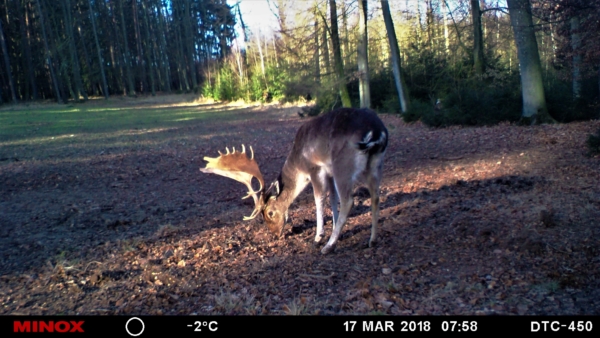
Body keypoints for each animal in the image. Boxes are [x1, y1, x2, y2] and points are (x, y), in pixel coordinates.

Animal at [202, 108, 390, 254]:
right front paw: (337, 231)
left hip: (343, 164)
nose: (275, 234)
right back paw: (372, 240)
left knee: (349, 200)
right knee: (375, 196)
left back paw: (328, 246)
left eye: (270, 212)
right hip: (376, 164)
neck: (298, 162)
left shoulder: (315, 168)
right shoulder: (328, 173)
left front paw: (319, 236)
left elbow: (319, 199)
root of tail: (377, 131)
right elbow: (332, 199)